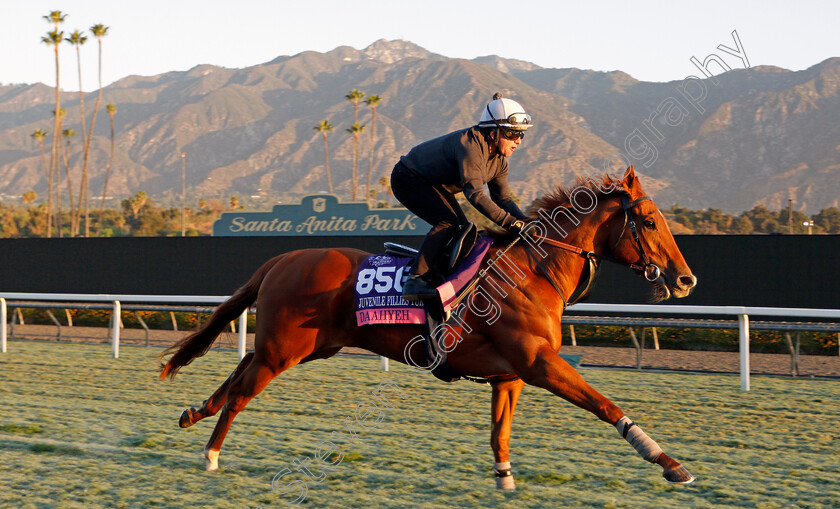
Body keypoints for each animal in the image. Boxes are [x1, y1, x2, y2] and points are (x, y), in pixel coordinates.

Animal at [161, 170, 700, 488]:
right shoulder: (539, 363)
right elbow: (604, 404)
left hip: (305, 346)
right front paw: (668, 461)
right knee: (243, 390)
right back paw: (211, 454)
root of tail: (282, 258)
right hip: (285, 348)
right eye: (649, 221)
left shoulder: (511, 374)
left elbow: (499, 432)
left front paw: (504, 478)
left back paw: (194, 413)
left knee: (240, 370)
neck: (533, 270)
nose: (685, 279)